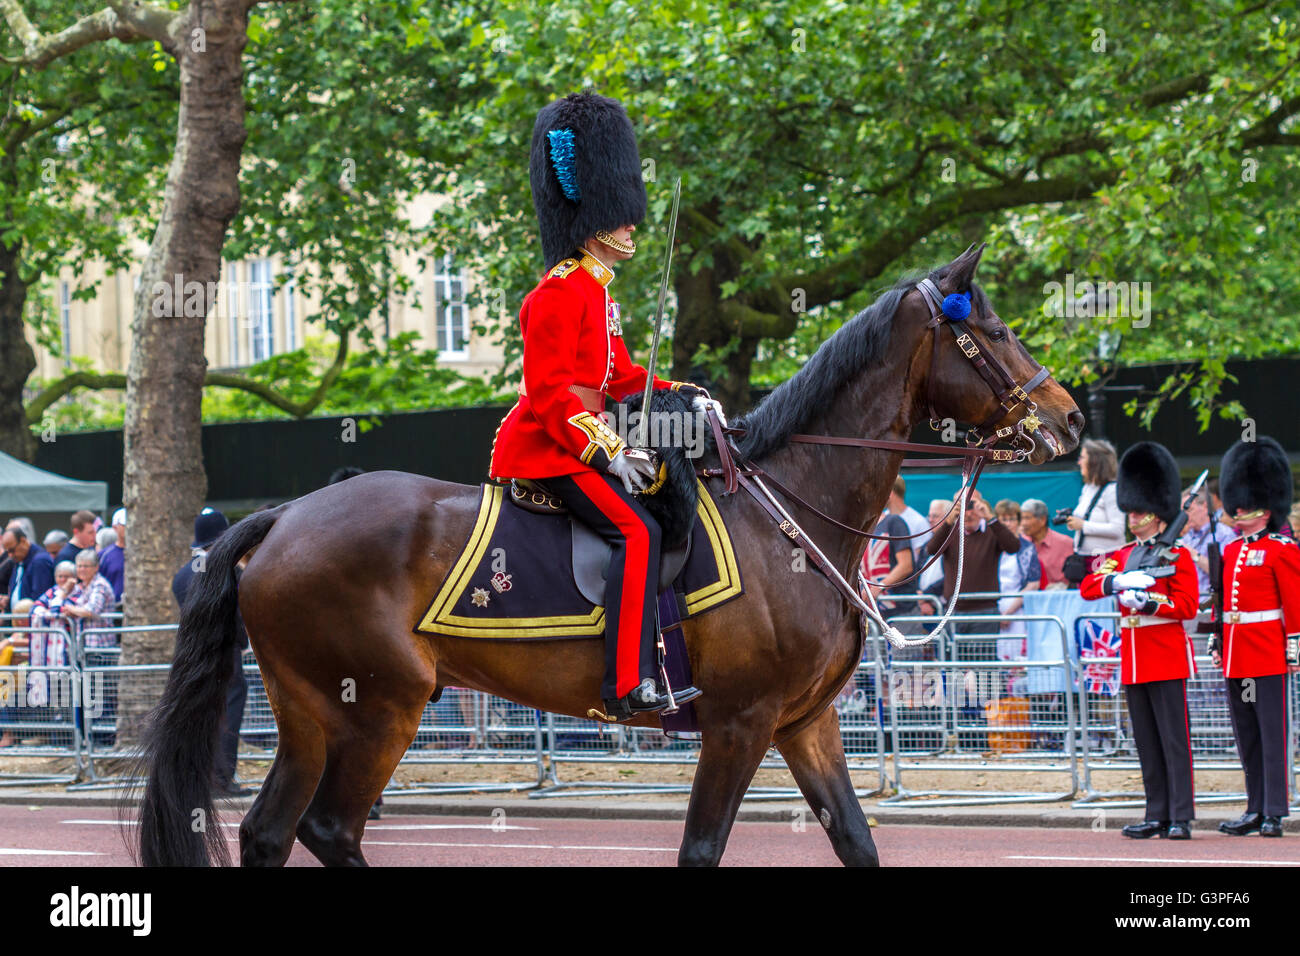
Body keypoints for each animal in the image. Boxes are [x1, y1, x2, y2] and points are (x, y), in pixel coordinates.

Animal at [134, 244, 1083, 867]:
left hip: (312, 708)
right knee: (329, 829)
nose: (1071, 419)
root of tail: (283, 517)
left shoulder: (803, 723)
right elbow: (701, 848)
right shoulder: (738, 723)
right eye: (996, 331)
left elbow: (855, 840)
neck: (790, 511)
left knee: (271, 832)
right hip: (384, 705)